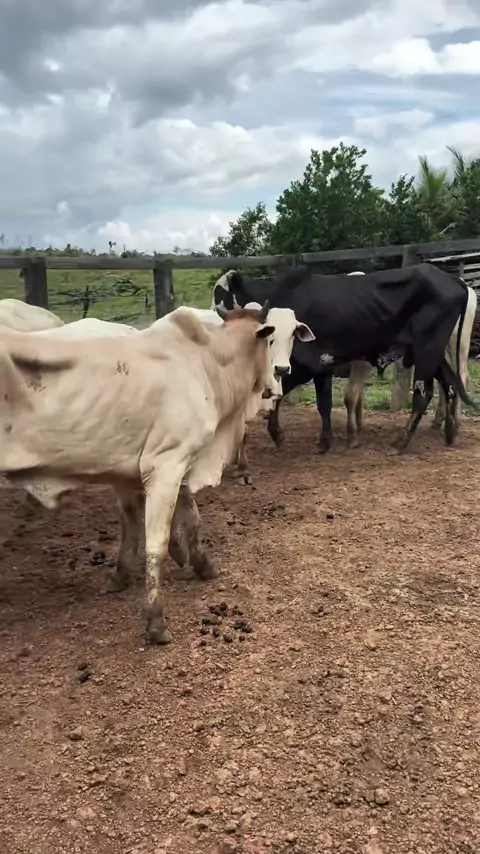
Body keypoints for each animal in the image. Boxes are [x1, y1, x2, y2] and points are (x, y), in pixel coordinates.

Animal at [0, 303, 278, 645]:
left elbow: (176, 521)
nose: (274, 385)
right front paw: (156, 622)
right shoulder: (166, 463)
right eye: (271, 341)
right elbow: (156, 542)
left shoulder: (159, 467)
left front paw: (197, 564)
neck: (207, 363)